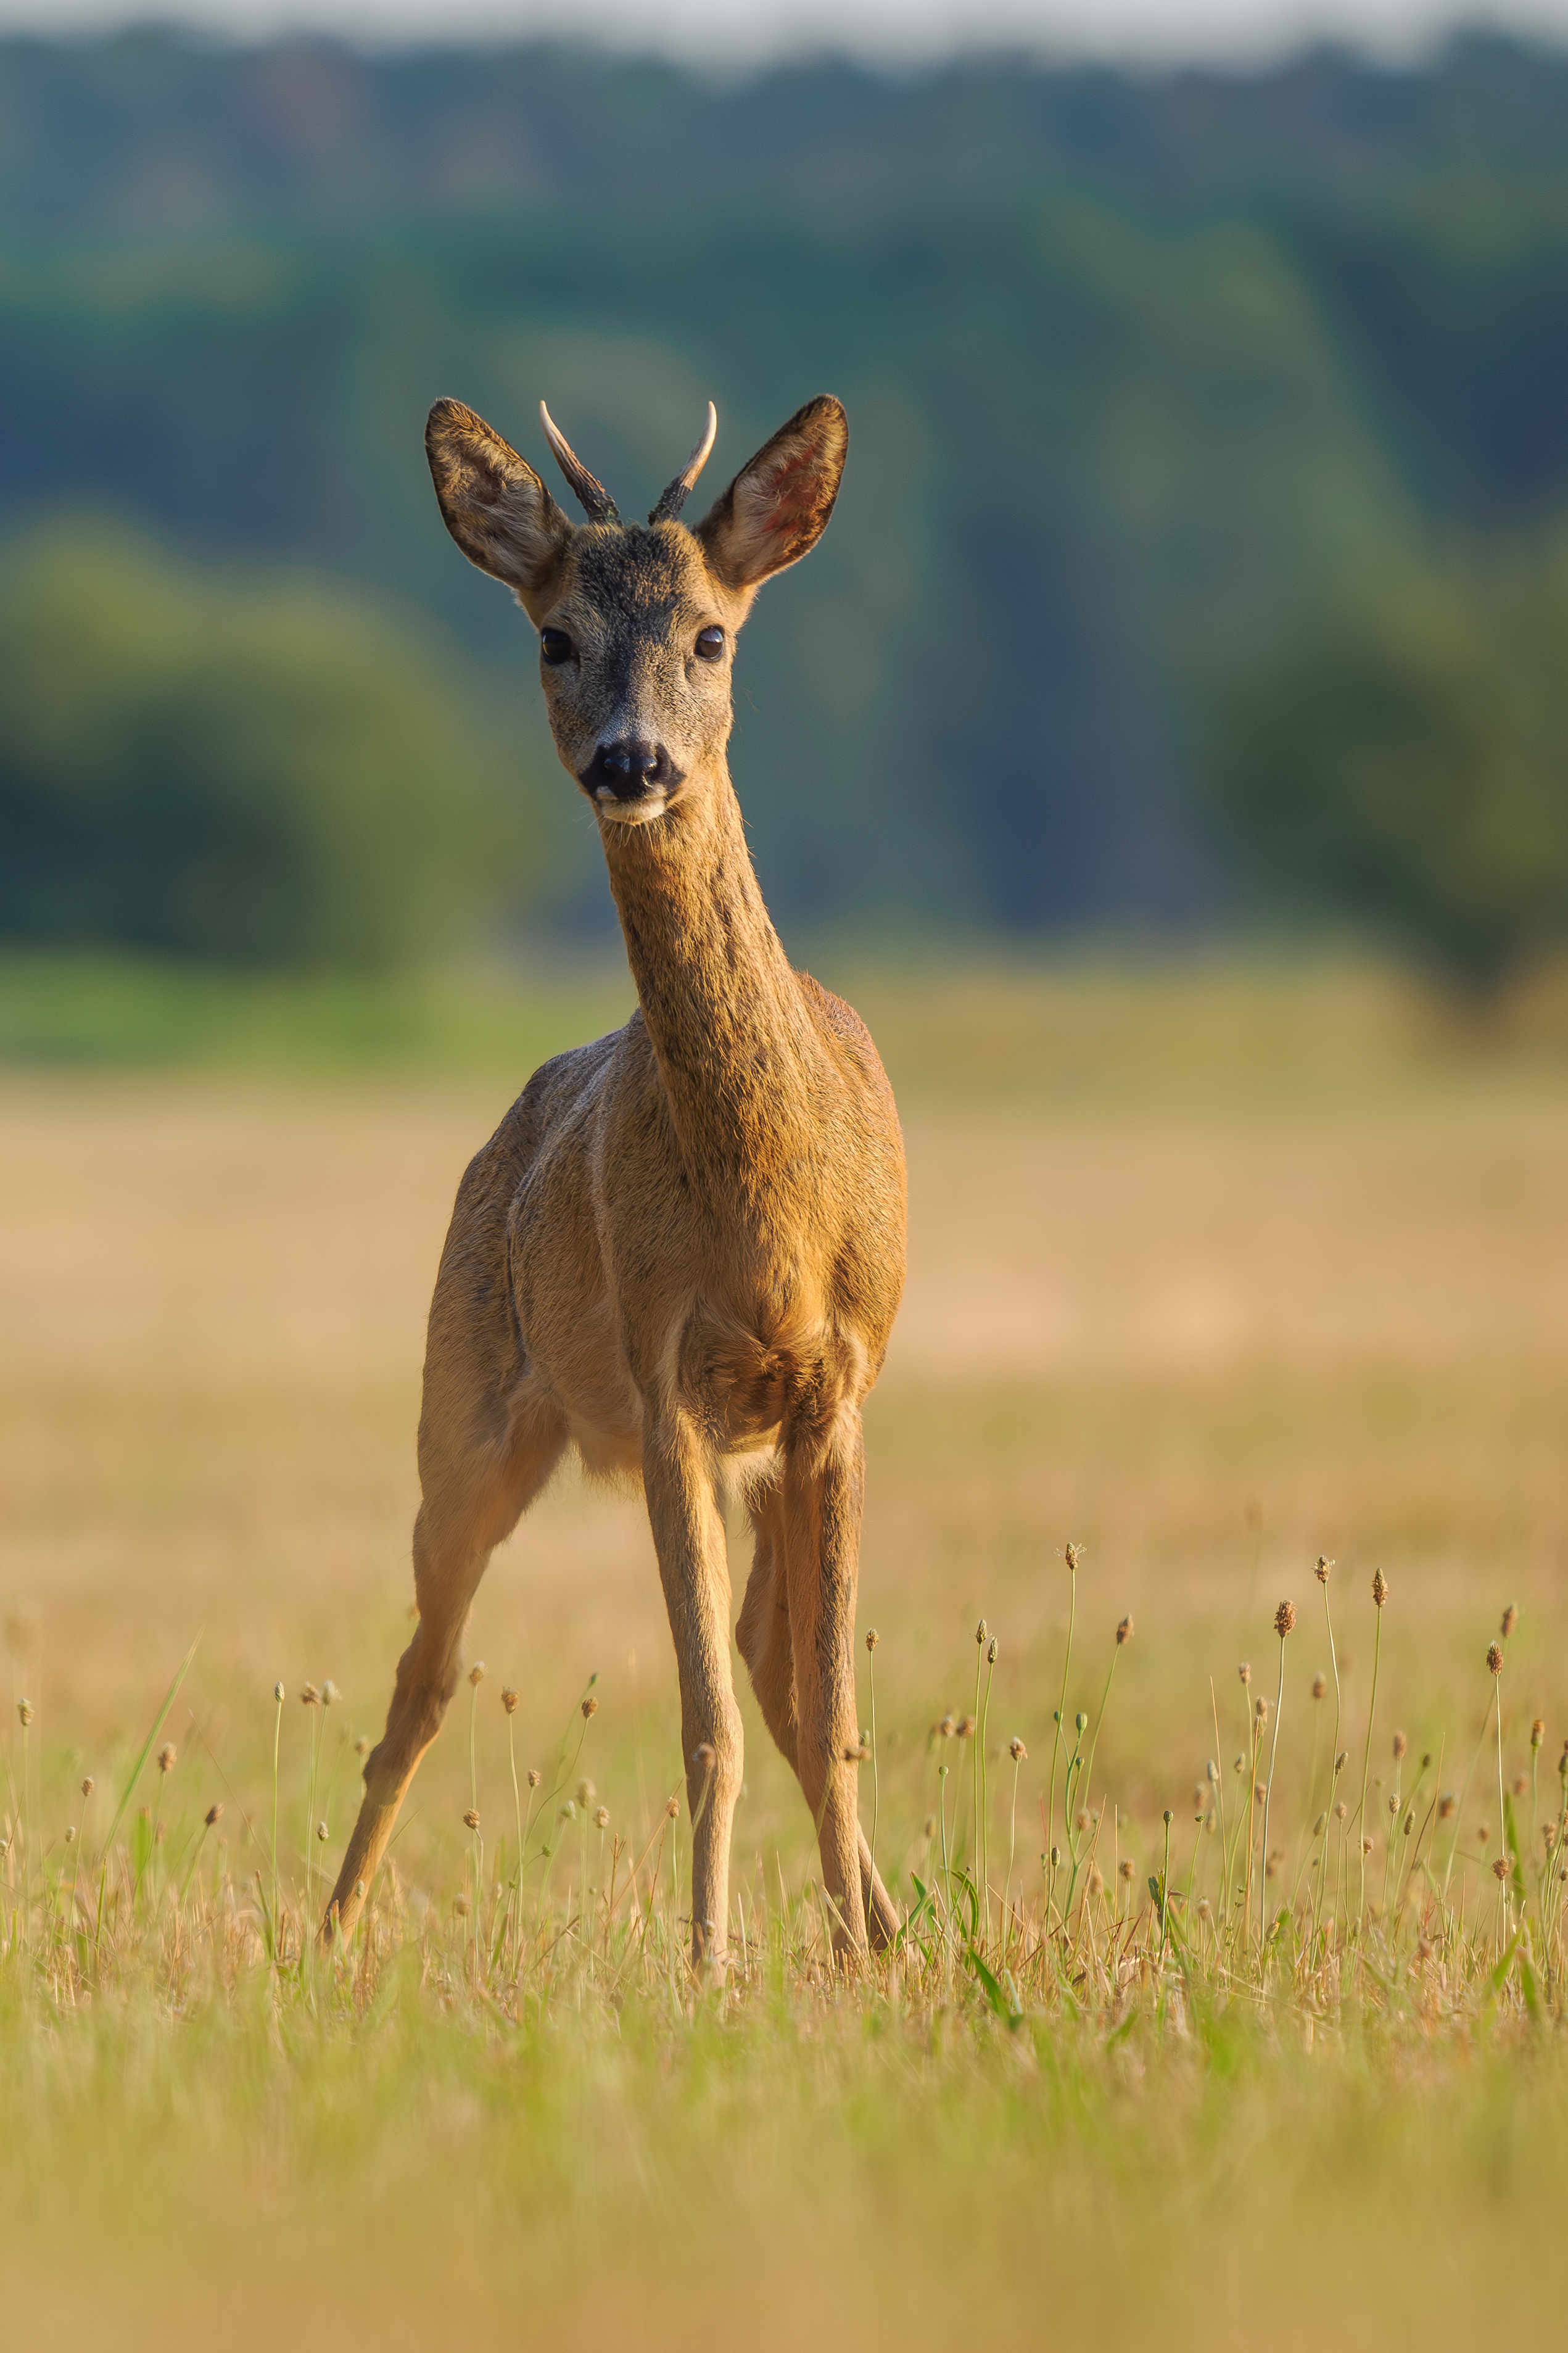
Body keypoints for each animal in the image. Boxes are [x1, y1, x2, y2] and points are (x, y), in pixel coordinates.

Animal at [320, 391, 904, 1967]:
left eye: (711, 635)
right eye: (554, 636)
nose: (633, 763)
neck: (769, 1213)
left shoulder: (833, 1387)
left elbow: (824, 1707)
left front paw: (862, 1956)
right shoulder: (662, 1386)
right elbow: (705, 1721)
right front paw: (705, 1961)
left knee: (769, 1663)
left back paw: (890, 1927)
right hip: (463, 1407)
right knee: (420, 1678)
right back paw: (326, 1934)